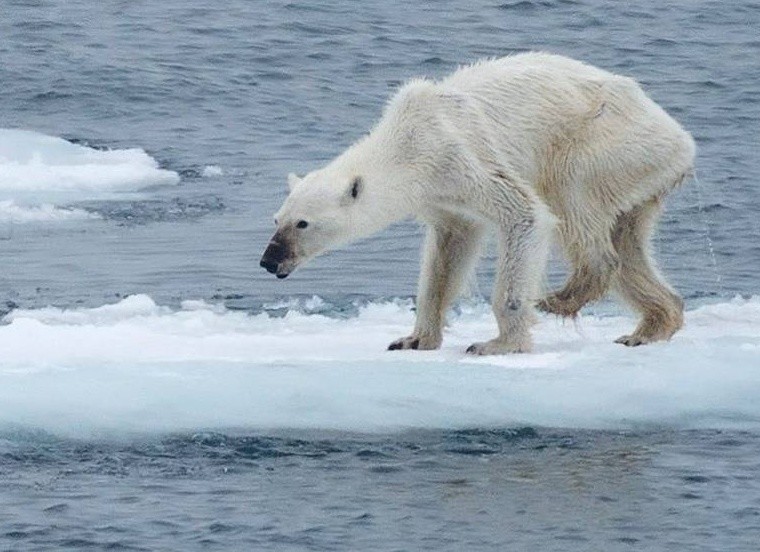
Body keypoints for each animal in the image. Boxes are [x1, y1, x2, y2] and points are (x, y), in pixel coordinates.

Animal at [262, 51, 696, 354]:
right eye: (276, 219)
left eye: (302, 223)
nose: (269, 261)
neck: (407, 142)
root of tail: (681, 139)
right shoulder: (441, 196)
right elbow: (448, 252)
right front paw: (413, 339)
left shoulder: (459, 157)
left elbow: (525, 214)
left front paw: (498, 344)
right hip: (640, 175)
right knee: (628, 242)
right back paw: (650, 326)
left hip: (606, 143)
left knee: (573, 197)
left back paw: (561, 297)